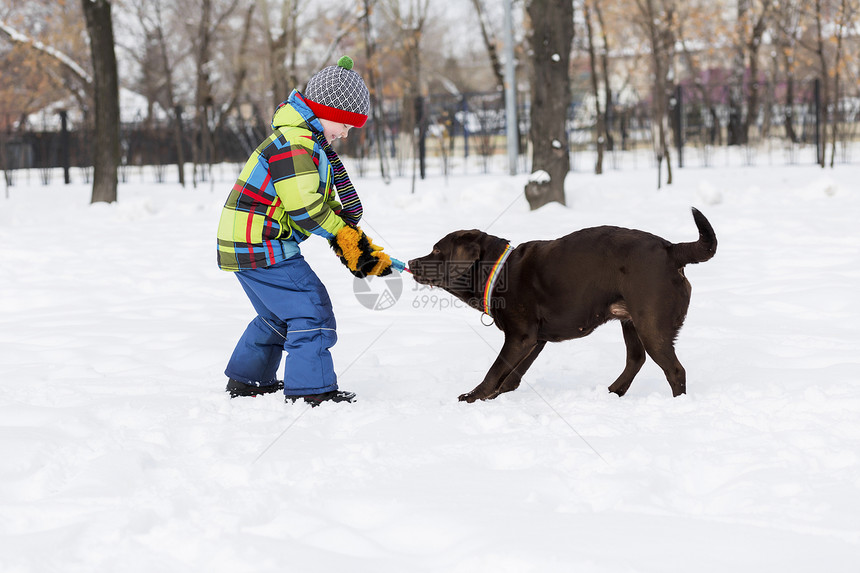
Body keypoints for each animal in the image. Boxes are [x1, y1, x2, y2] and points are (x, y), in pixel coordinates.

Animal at [406, 208, 716, 400]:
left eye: (436, 250)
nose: (410, 261)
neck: (497, 270)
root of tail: (671, 250)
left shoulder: (520, 336)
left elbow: (496, 369)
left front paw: (474, 396)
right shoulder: (534, 340)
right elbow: (512, 375)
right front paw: (496, 395)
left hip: (652, 324)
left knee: (674, 370)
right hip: (631, 321)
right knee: (635, 359)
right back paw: (612, 392)